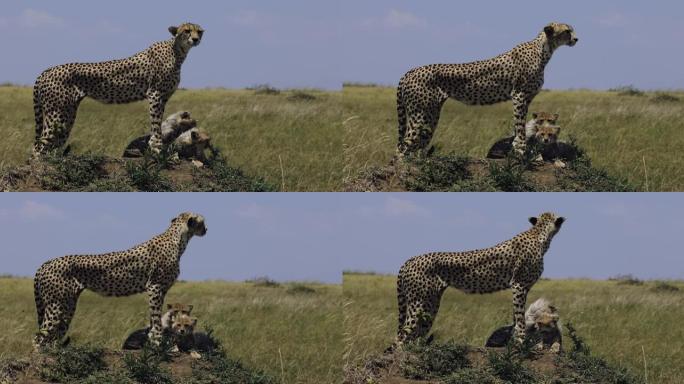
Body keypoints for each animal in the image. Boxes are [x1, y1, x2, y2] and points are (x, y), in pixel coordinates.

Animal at [32, 22, 203, 157]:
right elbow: (156, 124)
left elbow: (161, 122)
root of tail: (46, 71)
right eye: (187, 30)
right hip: (56, 114)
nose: (196, 39)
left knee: (51, 143)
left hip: (66, 114)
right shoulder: (155, 95)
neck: (178, 51)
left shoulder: (164, 97)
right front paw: (157, 149)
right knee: (38, 147)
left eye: (200, 31)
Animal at [32, 213, 208, 348]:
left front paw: (152, 338)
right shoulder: (155, 287)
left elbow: (154, 316)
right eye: (202, 221)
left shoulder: (160, 290)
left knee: (55, 333)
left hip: (67, 304)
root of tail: (45, 263)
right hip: (55, 305)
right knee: (39, 337)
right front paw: (157, 339)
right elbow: (156, 315)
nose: (207, 229)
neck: (177, 237)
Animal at [392, 213, 564, 348]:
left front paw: (512, 339)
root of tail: (410, 259)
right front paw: (520, 340)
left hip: (430, 303)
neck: (539, 233)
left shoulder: (522, 288)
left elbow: (516, 315)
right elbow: (520, 316)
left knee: (416, 331)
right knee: (401, 336)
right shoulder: (519, 285)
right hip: (418, 303)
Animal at [396, 22, 576, 158]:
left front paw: (515, 147)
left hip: (431, 115)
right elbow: (520, 125)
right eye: (567, 31)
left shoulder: (527, 98)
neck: (544, 49)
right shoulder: (519, 96)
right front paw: (520, 149)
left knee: (417, 143)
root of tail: (409, 72)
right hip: (419, 115)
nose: (576, 39)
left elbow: (519, 125)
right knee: (402, 147)